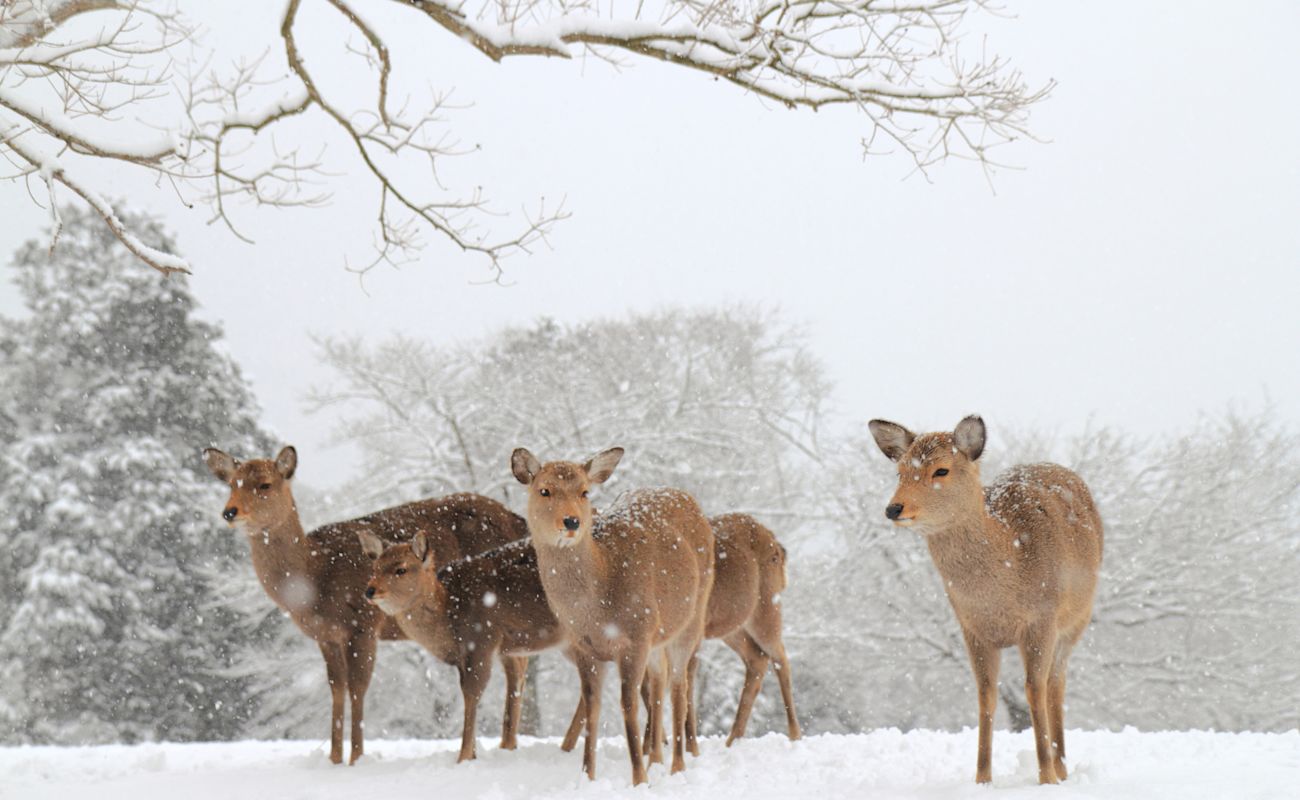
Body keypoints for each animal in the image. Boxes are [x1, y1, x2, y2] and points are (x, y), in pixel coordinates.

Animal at [202, 445, 524, 765]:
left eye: (265, 484)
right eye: (232, 484)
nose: (229, 511)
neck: (314, 580)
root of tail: (518, 519)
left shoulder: (364, 624)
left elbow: (358, 687)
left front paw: (356, 758)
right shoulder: (326, 636)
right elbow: (336, 687)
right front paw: (333, 758)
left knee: (517, 666)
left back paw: (506, 745)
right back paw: (504, 745)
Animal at [358, 532, 569, 763]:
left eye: (401, 569)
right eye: (375, 567)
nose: (370, 591)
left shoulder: (481, 640)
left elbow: (472, 692)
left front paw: (464, 756)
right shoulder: (507, 648)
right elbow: (511, 684)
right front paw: (501, 748)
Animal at [511, 446, 714, 785]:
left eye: (584, 491)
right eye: (544, 490)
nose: (572, 521)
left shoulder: (636, 635)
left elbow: (627, 703)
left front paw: (639, 779)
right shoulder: (584, 647)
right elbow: (592, 706)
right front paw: (587, 776)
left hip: (692, 616)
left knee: (679, 686)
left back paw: (676, 766)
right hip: (659, 635)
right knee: (660, 681)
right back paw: (656, 759)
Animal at [559, 511, 801, 755]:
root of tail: (779, 545)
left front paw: (672, 747)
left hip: (766, 607)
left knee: (780, 657)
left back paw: (794, 734)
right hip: (732, 627)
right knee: (756, 658)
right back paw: (733, 739)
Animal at [867, 415, 1103, 785]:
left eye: (942, 470)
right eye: (900, 472)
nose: (894, 508)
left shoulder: (1042, 619)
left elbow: (1033, 689)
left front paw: (1046, 777)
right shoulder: (972, 629)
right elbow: (985, 695)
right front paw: (982, 778)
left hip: (1077, 621)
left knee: (1056, 684)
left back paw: (1062, 767)